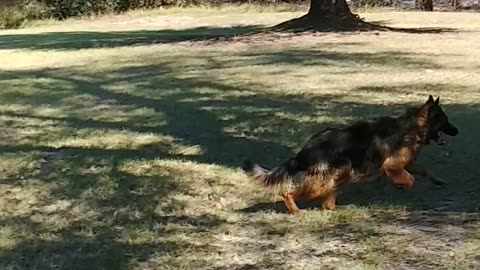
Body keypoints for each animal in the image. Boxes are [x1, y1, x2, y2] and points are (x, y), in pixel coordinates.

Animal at [244, 96, 458, 214]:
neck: (413, 126)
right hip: (337, 174)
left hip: (338, 176)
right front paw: (402, 186)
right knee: (289, 193)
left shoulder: (406, 163)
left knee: (324, 202)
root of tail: (306, 149)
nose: (457, 131)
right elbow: (410, 179)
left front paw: (439, 180)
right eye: (445, 120)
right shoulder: (393, 166)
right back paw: (297, 211)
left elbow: (424, 170)